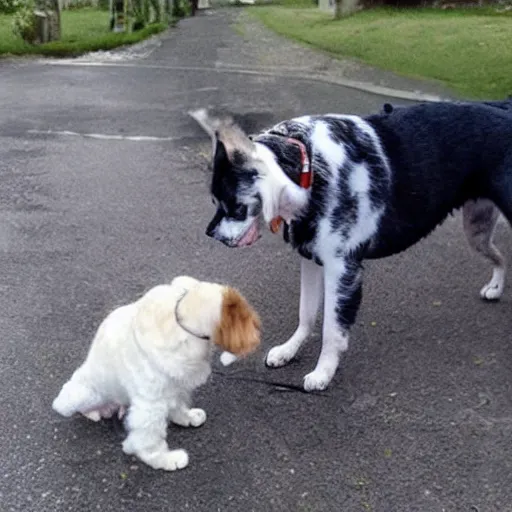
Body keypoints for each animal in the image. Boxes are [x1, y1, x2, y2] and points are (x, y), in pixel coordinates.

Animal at [53, 276, 260, 472]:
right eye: (244, 314)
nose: (257, 329)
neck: (179, 323)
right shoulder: (150, 405)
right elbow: (148, 438)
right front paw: (164, 459)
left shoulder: (174, 385)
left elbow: (177, 405)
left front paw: (186, 417)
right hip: (82, 394)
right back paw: (92, 412)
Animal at [191, 100, 512, 392]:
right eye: (214, 201)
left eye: (235, 207)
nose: (210, 233)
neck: (308, 166)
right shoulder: (309, 259)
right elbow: (306, 315)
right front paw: (288, 351)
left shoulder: (342, 271)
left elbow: (332, 331)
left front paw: (323, 373)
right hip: (477, 230)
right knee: (502, 258)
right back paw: (495, 289)